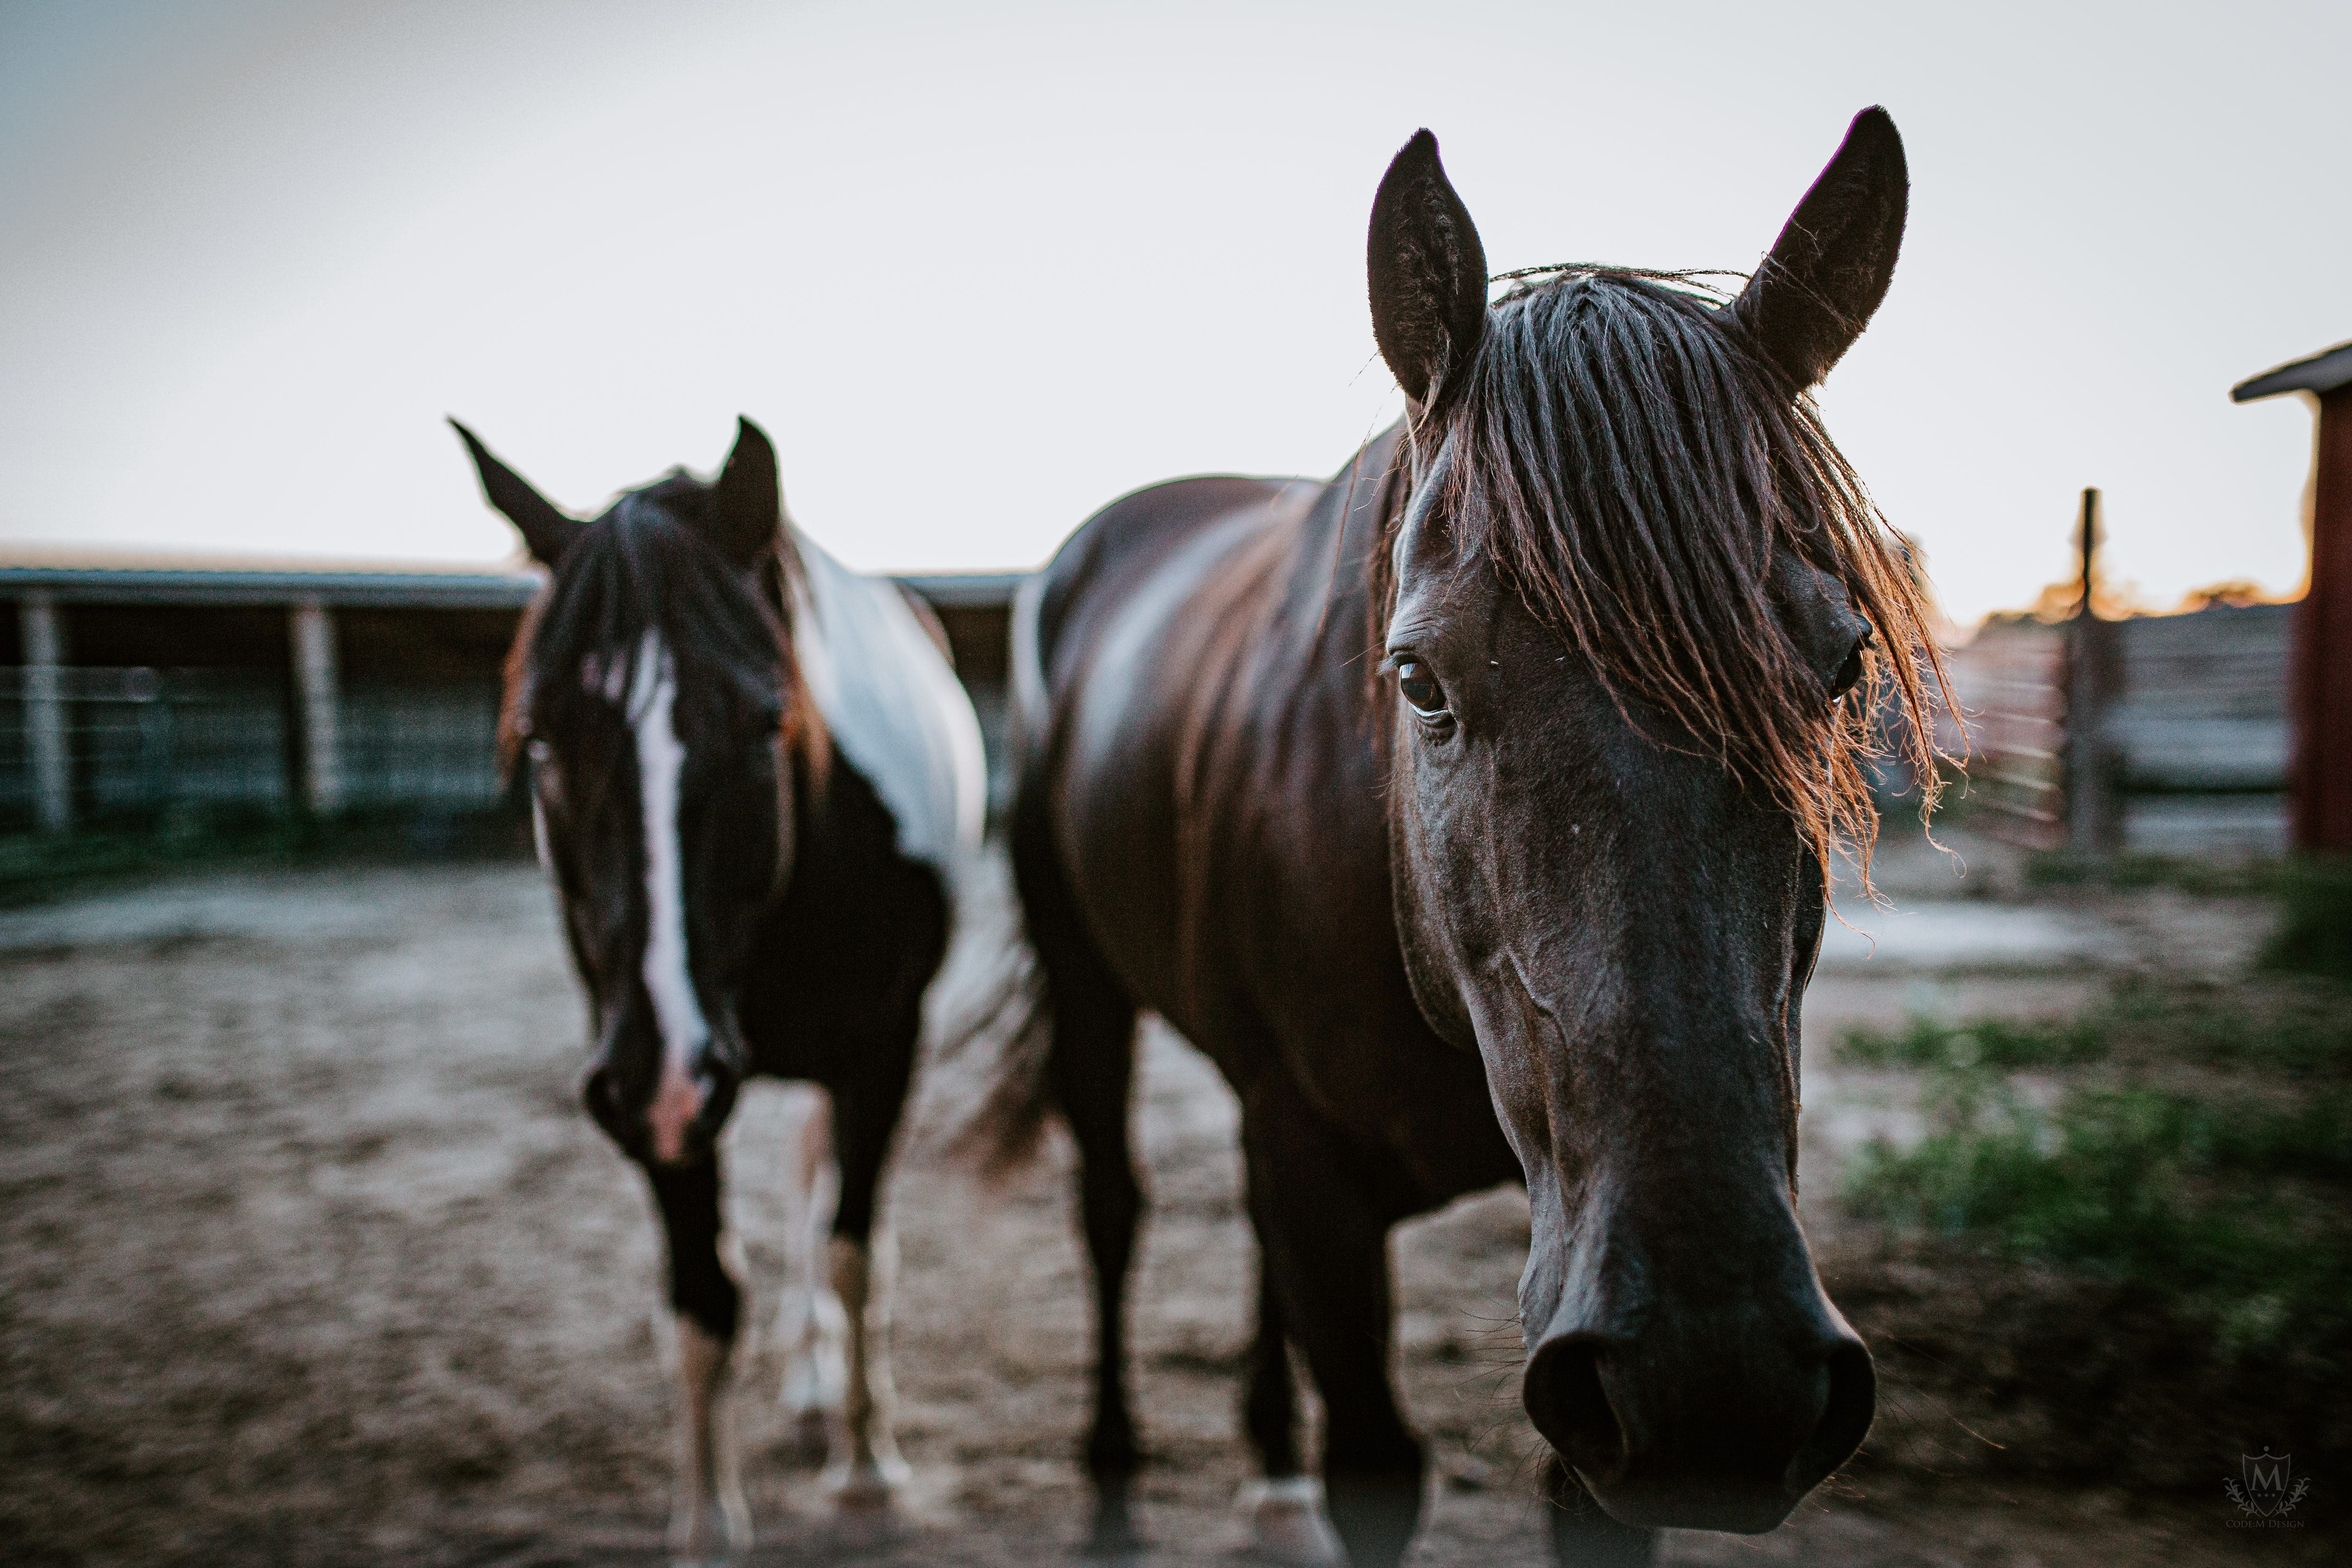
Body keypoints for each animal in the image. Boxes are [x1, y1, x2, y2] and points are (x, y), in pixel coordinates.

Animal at [454, 417, 986, 1564]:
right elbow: (701, 1302)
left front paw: (868, 1469)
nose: (668, 1063)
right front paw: (705, 1518)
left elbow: (855, 1251)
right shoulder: (650, 1087)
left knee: (821, 1193)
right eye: (542, 738)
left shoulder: (880, 1048)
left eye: (762, 721)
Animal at [976, 109, 1945, 1566]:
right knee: (1112, 1212)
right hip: (1088, 985)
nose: (1717, 1375)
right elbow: (1374, 1457)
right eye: (1418, 677)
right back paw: (1109, 1475)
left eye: (1839, 669)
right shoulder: (1323, 1180)